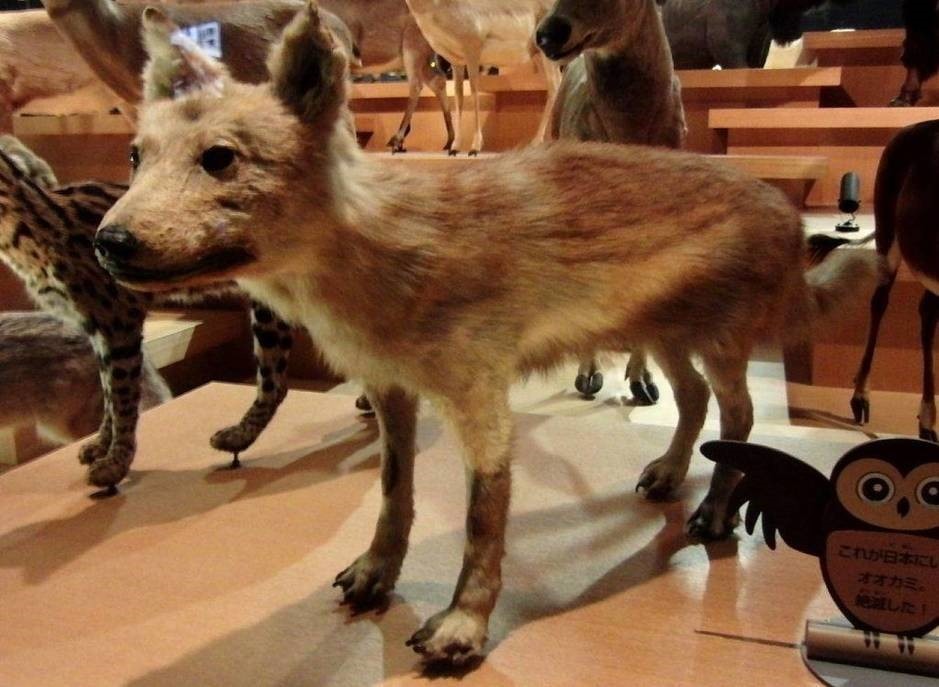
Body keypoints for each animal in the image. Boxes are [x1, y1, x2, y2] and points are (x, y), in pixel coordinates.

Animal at [94, 1, 881, 663]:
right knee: (690, 403)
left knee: (738, 418)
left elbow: (481, 522)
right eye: (135, 158)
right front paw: (377, 574)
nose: (108, 241)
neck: (387, 252)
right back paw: (665, 473)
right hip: (662, 340)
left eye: (219, 158)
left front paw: (463, 625)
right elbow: (394, 495)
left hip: (717, 347)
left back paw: (716, 508)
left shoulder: (482, 404)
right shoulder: (391, 393)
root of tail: (783, 210)